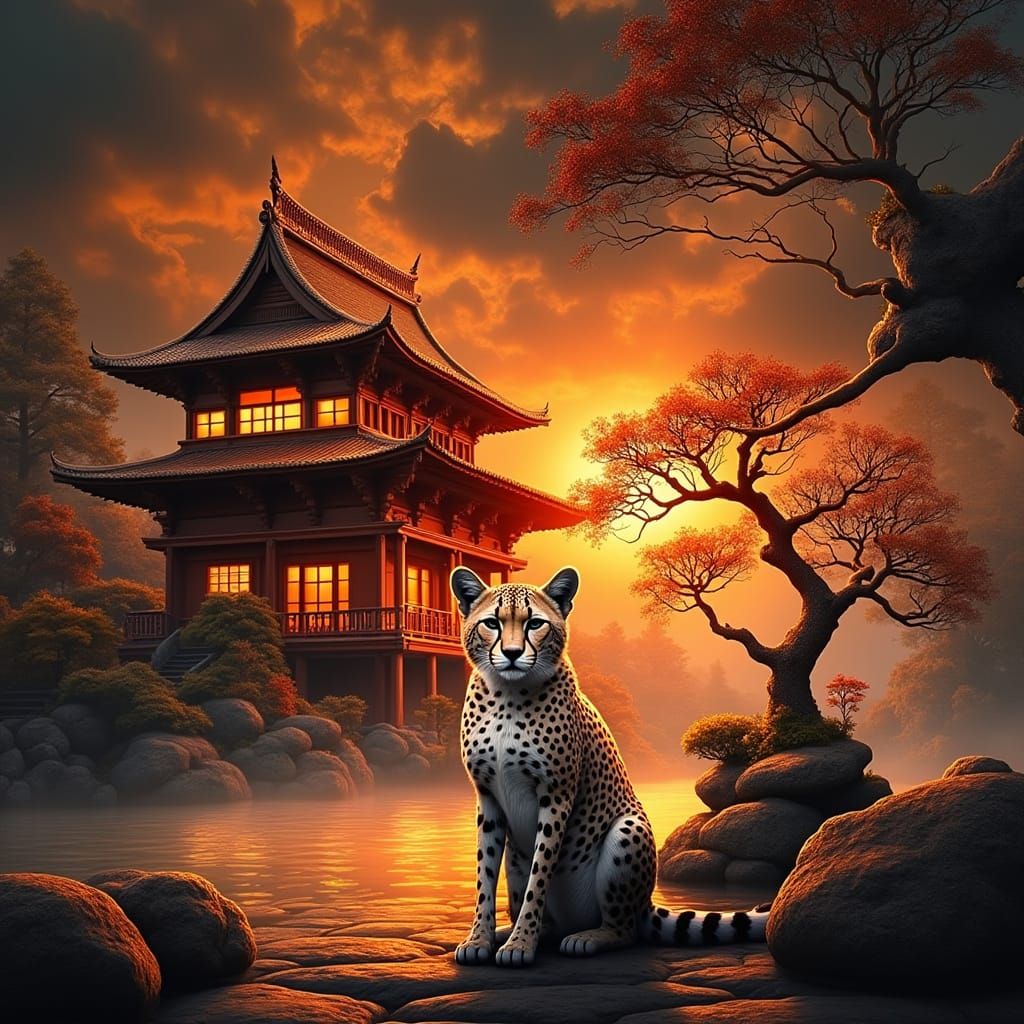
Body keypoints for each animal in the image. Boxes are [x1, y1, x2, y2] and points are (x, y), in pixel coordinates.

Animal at [450, 564, 770, 968]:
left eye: (535, 623)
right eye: (491, 623)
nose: (511, 653)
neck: (507, 695)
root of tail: (645, 904)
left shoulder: (556, 795)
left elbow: (540, 876)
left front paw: (521, 944)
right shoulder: (488, 797)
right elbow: (485, 874)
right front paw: (480, 938)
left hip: (627, 831)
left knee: (624, 930)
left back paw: (587, 937)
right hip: (517, 859)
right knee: (550, 918)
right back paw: (511, 933)